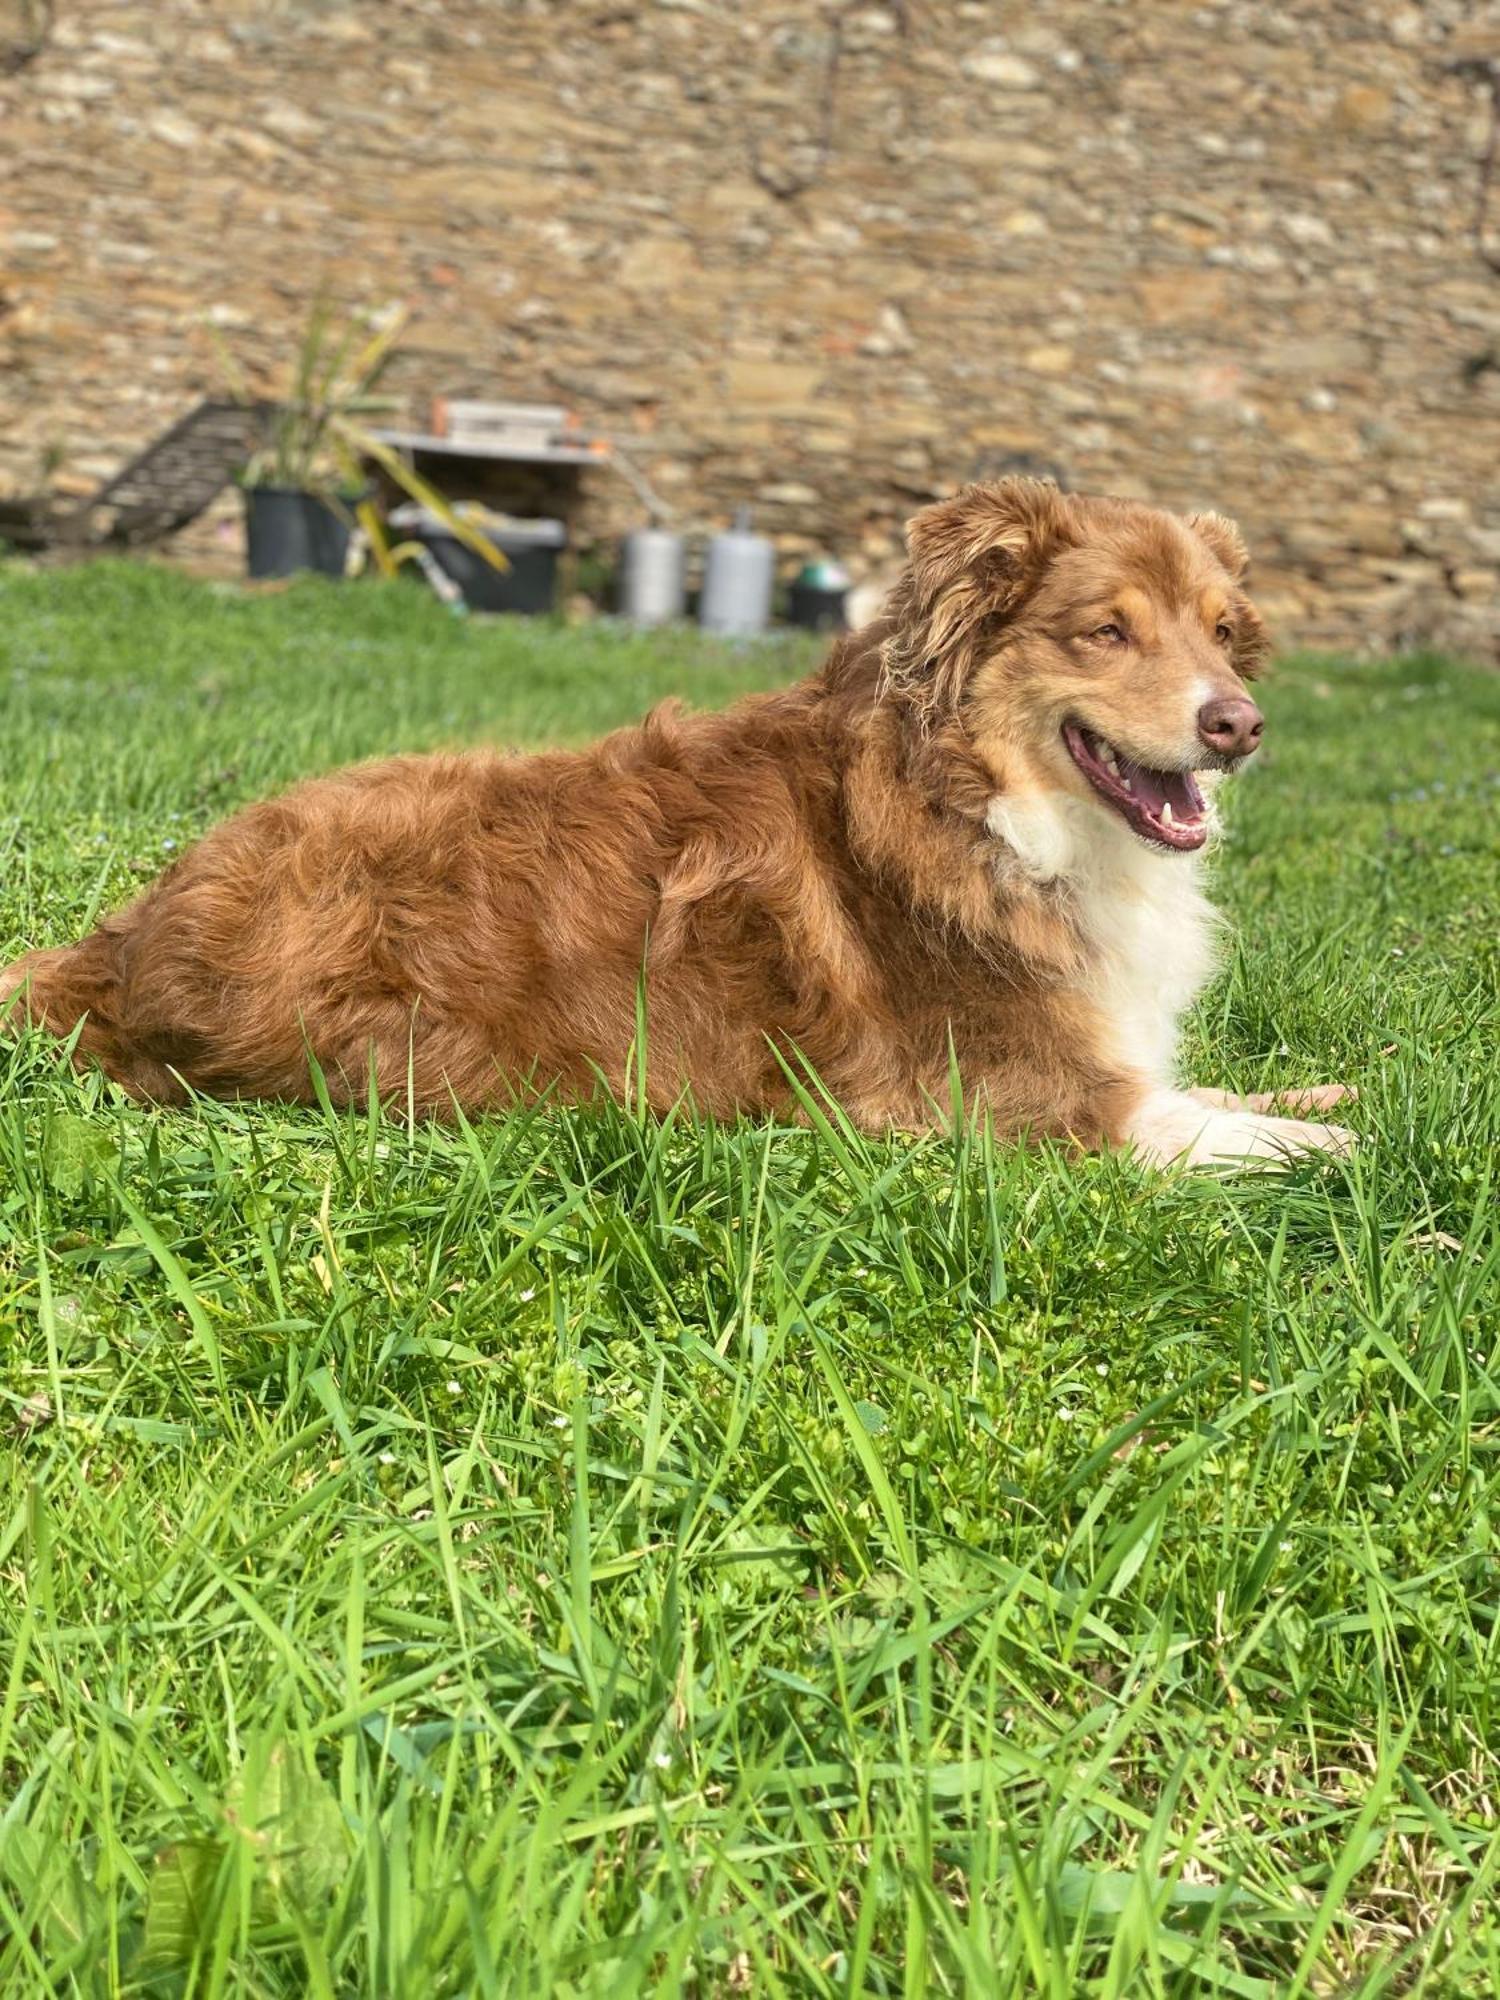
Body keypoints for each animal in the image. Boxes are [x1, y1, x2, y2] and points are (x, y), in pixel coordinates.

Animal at [0, 482, 1360, 1168]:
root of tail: (124, 941)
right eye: (1108, 630)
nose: (1239, 723)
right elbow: (1220, 1129)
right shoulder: (1016, 1102)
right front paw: (1342, 1146)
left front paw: (1324, 1083)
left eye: (1221, 630)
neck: (981, 806)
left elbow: (1212, 1084)